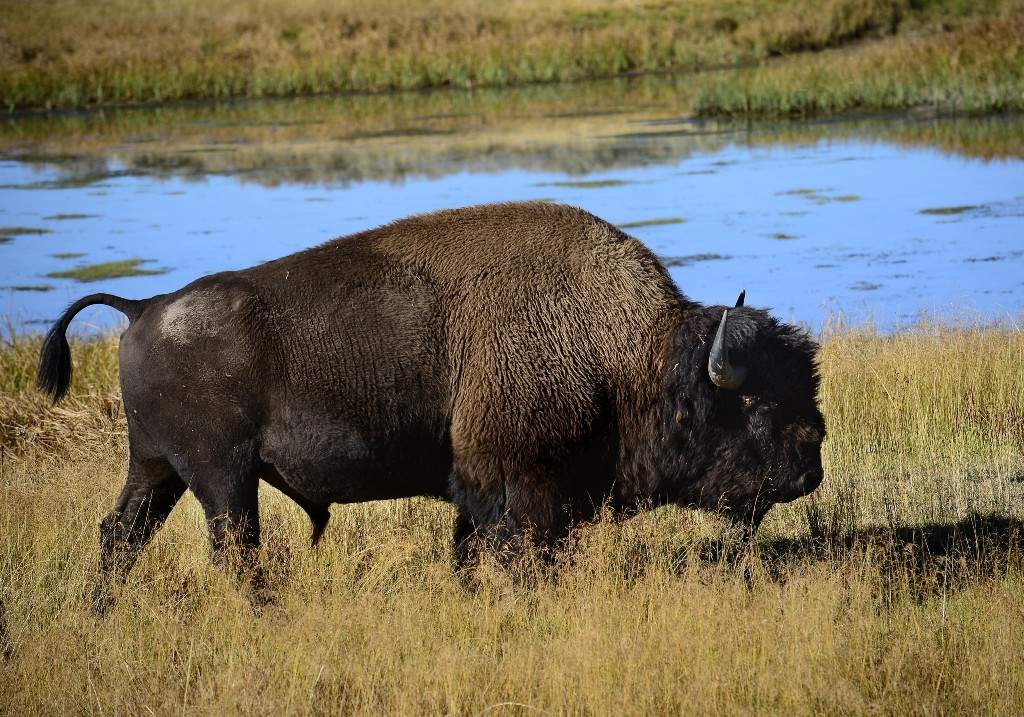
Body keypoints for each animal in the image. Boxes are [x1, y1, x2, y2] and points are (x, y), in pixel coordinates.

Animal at [38, 201, 824, 611]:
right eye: (756, 402)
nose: (811, 464)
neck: (629, 353)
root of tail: (144, 307)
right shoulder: (518, 489)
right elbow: (517, 552)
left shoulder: (482, 491)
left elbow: (470, 548)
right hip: (220, 476)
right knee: (234, 548)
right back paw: (268, 614)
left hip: (158, 469)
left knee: (121, 534)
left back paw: (101, 612)